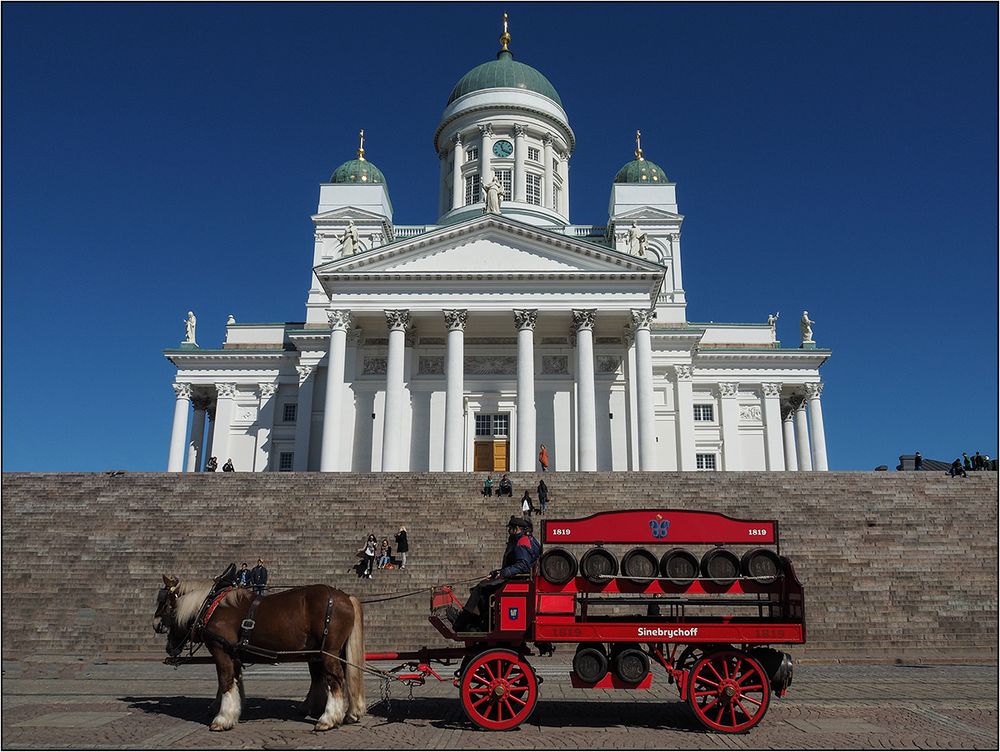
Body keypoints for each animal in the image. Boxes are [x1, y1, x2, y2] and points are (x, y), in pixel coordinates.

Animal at [152, 576, 364, 728]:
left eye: (164, 603)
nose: (155, 624)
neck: (211, 606)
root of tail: (345, 596)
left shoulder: (221, 651)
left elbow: (226, 680)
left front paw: (223, 718)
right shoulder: (234, 653)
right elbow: (235, 681)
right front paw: (233, 710)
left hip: (328, 652)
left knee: (335, 680)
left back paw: (328, 718)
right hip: (328, 653)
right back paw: (347, 713)